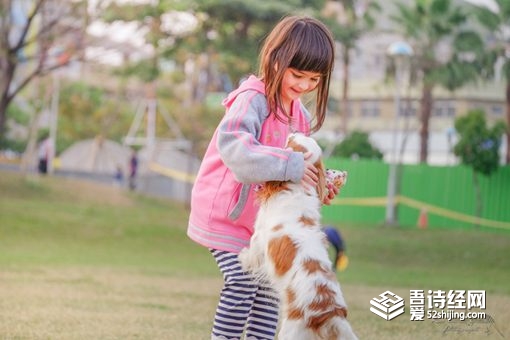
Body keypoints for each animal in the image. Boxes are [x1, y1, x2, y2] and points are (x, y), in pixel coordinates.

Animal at [238, 133, 354, 340]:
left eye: (292, 142)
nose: (294, 132)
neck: (297, 188)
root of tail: (330, 313)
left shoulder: (260, 236)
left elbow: (252, 252)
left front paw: (243, 257)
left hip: (290, 331)